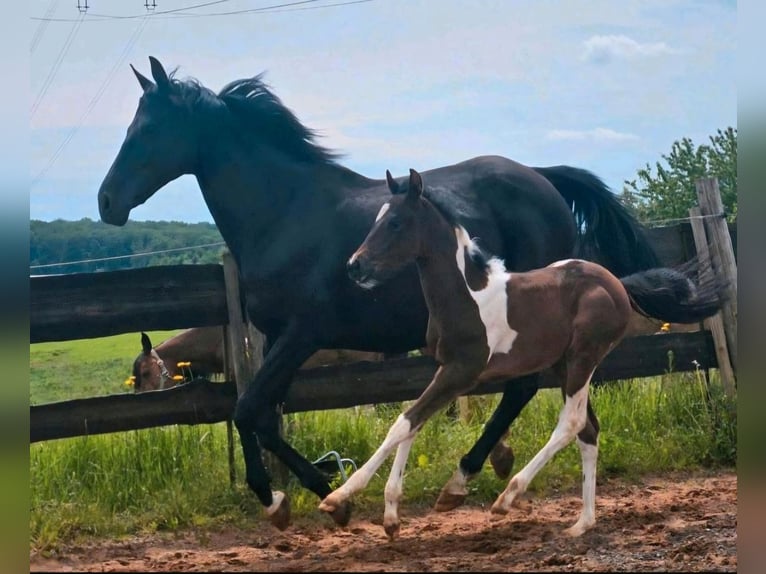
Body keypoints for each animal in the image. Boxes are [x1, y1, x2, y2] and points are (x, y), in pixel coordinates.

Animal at [319, 168, 727, 539]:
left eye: (395, 223)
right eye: (377, 219)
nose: (355, 266)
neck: (466, 296)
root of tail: (617, 284)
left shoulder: (462, 371)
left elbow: (403, 423)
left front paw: (339, 497)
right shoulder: (445, 370)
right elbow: (413, 423)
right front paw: (390, 517)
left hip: (583, 358)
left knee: (571, 423)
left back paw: (508, 497)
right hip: (563, 365)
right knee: (589, 429)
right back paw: (582, 523)